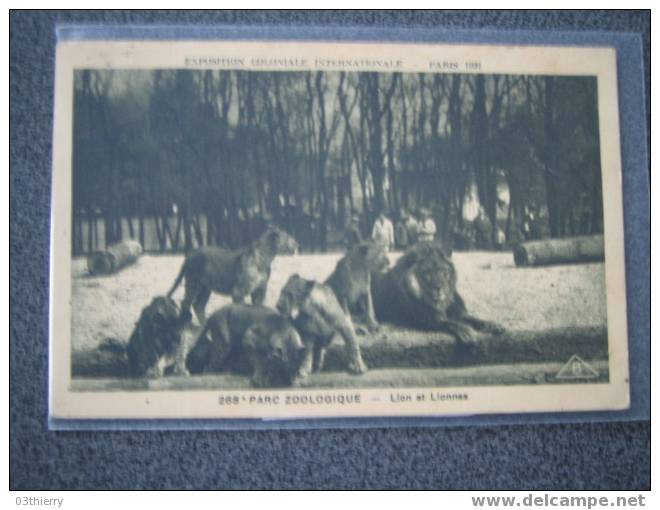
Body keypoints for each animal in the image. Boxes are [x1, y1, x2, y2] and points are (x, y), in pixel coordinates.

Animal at [166, 226, 298, 322]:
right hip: (193, 284)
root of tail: (191, 253)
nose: (296, 243)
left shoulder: (259, 291)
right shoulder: (238, 292)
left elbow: (259, 309)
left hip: (205, 288)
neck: (265, 258)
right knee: (186, 303)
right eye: (288, 238)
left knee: (198, 306)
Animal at [368, 241, 502, 344]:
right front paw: (467, 331)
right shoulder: (426, 319)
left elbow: (474, 319)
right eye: (427, 273)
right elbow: (450, 323)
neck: (441, 302)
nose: (439, 287)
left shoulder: (458, 312)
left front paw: (494, 325)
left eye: (442, 271)